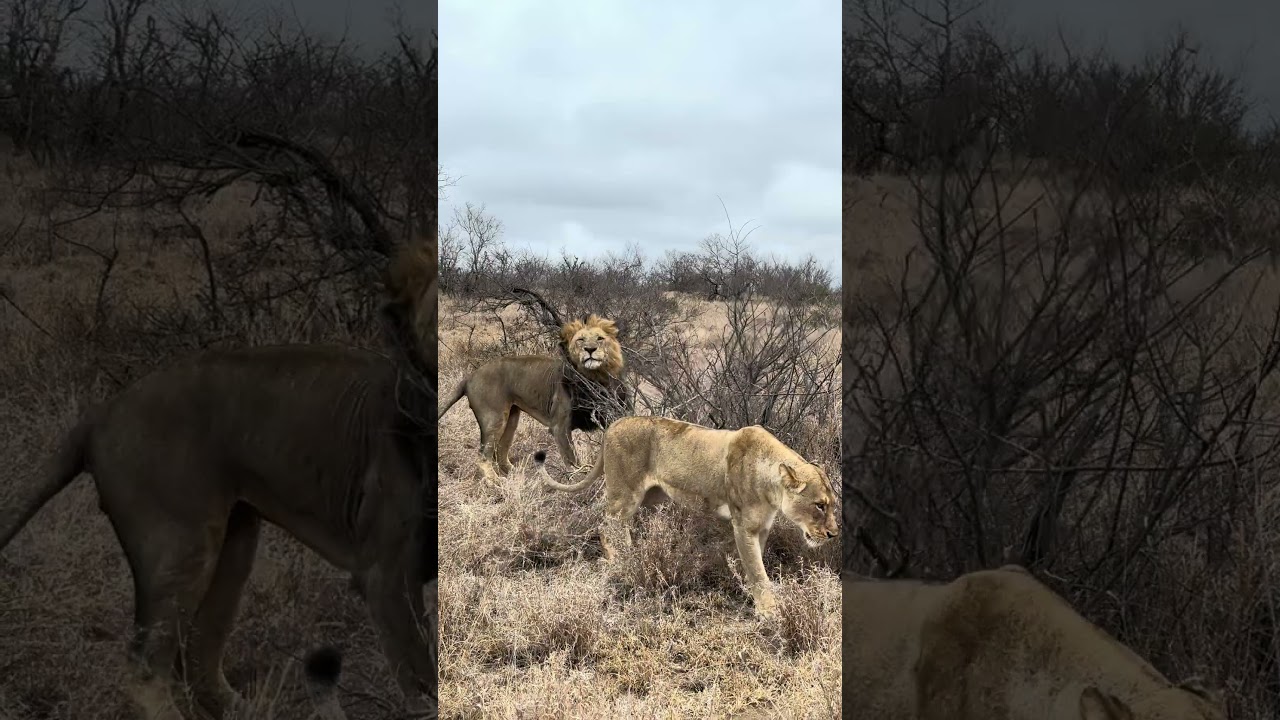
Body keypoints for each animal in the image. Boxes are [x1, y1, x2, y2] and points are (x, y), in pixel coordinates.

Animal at [0, 235, 438, 720]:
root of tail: (101, 412)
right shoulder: (385, 576)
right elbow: (423, 683)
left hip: (234, 541)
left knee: (199, 657)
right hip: (180, 544)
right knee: (147, 667)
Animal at [439, 312, 629, 475]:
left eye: (600, 338)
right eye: (580, 340)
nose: (590, 349)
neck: (594, 377)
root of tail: (470, 376)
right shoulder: (559, 426)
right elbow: (573, 462)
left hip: (511, 417)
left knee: (501, 450)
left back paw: (518, 475)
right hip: (493, 418)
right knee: (483, 457)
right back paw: (497, 484)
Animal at [536, 415, 839, 617]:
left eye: (832, 505)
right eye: (819, 505)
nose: (834, 534)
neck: (772, 486)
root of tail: (614, 424)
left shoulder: (761, 527)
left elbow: (756, 563)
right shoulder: (743, 526)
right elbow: (757, 571)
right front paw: (769, 611)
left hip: (650, 495)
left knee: (612, 521)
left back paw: (625, 557)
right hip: (625, 493)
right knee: (606, 522)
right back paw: (622, 561)